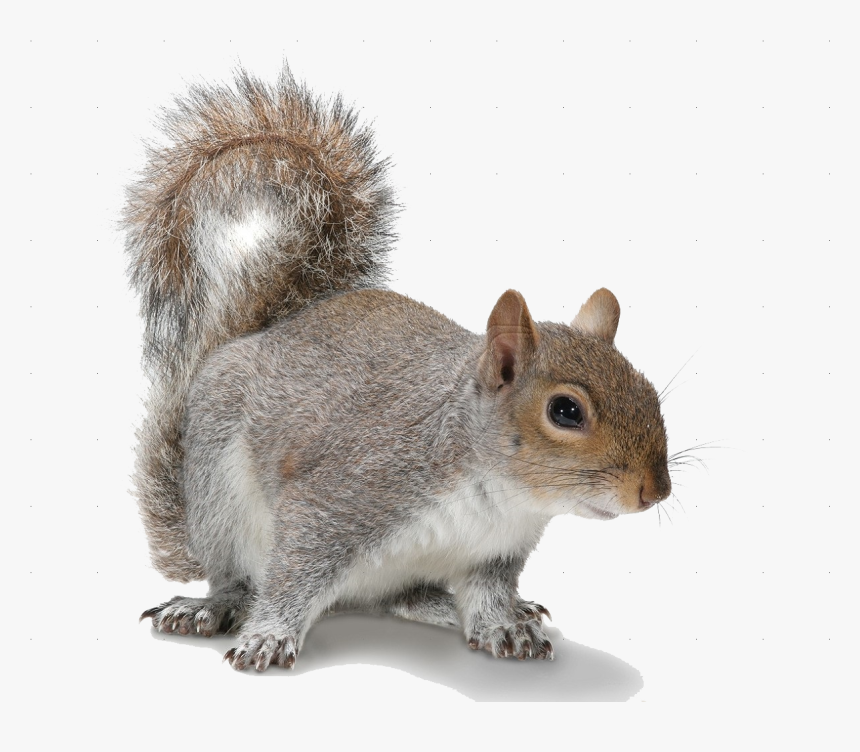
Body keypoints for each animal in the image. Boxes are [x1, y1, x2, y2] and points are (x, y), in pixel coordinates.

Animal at [126, 66, 672, 672]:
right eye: (566, 411)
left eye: (651, 391)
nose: (656, 491)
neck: (498, 496)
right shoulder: (345, 494)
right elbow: (293, 574)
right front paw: (267, 636)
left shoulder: (494, 553)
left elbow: (487, 595)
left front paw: (504, 625)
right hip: (218, 492)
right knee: (239, 577)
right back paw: (212, 606)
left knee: (400, 598)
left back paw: (460, 607)